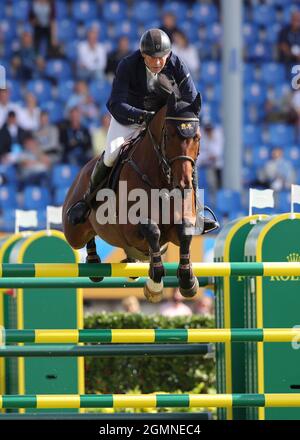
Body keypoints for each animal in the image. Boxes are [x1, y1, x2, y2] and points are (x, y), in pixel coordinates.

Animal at [63, 89, 204, 302]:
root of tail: (83, 170)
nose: (183, 185)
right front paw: (155, 284)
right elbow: (151, 229)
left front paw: (188, 280)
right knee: (83, 234)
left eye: (197, 137)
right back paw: (93, 258)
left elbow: (184, 231)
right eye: (169, 135)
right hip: (74, 232)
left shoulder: (177, 228)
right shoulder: (130, 229)